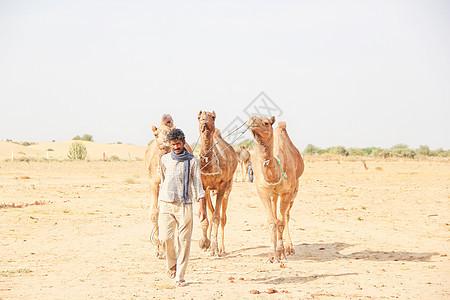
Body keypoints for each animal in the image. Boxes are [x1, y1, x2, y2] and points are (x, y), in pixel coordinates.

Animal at [145, 113, 192, 258]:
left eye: (169, 132)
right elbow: (154, 212)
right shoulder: (154, 182)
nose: (166, 142)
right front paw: (159, 250)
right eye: (155, 134)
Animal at [198, 110, 239, 255]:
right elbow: (206, 217)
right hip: (211, 190)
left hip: (229, 186)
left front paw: (215, 248)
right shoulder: (203, 186)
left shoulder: (222, 185)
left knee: (223, 217)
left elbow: (217, 217)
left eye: (213, 117)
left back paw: (222, 248)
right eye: (199, 117)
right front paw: (204, 243)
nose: (204, 121)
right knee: (212, 213)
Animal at [246, 116, 306, 262]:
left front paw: (281, 253)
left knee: (286, 216)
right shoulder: (262, 190)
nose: (252, 120)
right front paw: (272, 255)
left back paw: (289, 248)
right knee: (276, 212)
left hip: (294, 191)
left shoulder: (287, 192)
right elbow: (272, 222)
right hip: (274, 194)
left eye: (266, 122)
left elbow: (281, 222)